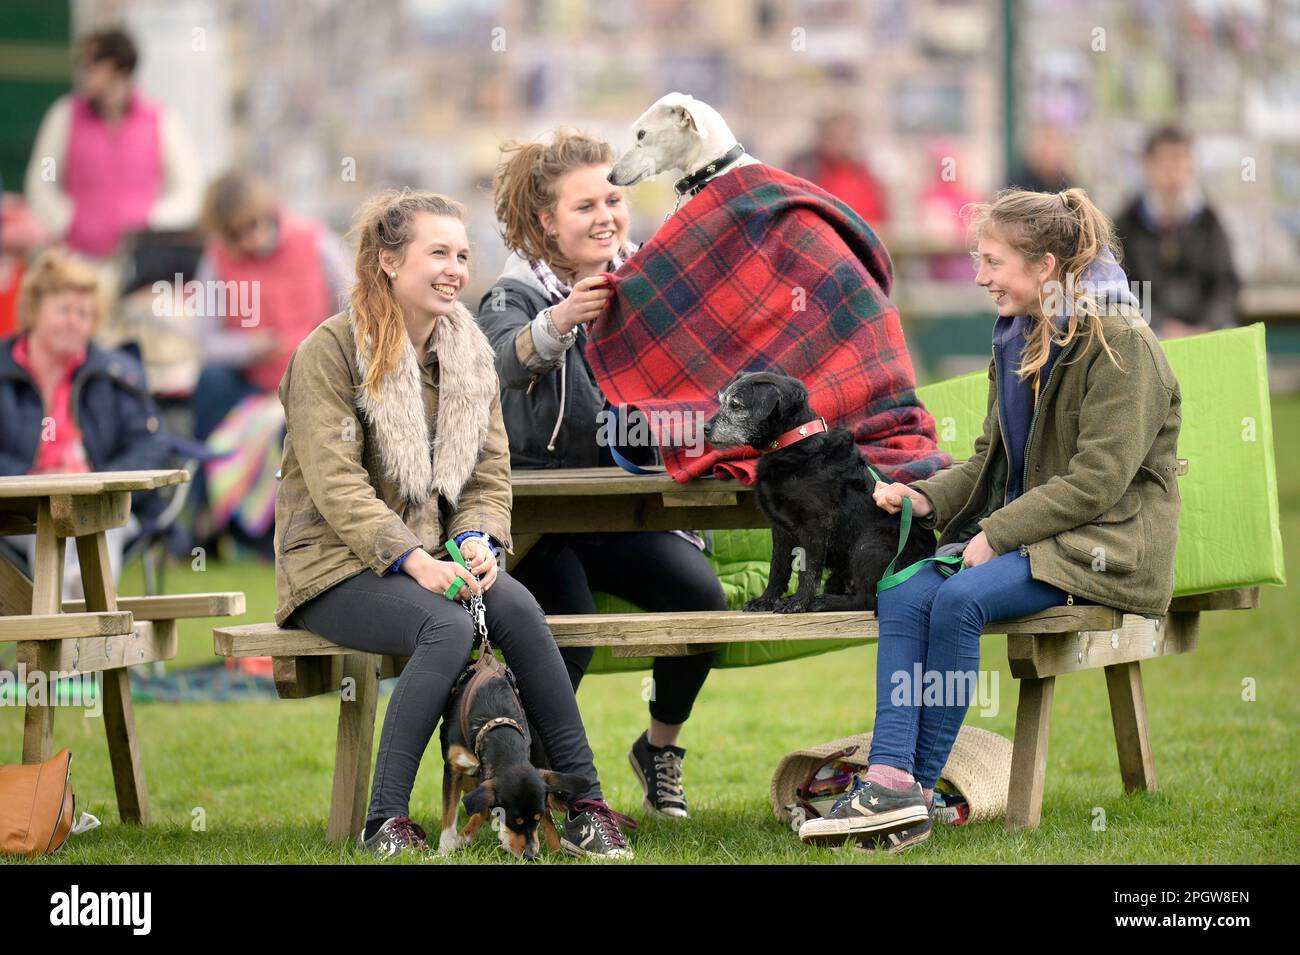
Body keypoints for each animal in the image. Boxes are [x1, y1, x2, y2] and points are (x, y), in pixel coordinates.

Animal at [439, 649, 587, 857]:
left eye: (535, 819)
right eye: (513, 821)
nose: (531, 855)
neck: (494, 721)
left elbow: (545, 816)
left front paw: (555, 850)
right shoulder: (453, 769)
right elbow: (450, 815)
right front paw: (445, 849)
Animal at [702, 371, 935, 613]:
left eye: (735, 405)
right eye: (723, 401)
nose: (704, 428)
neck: (792, 445)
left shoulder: (816, 524)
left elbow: (809, 570)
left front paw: (798, 603)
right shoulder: (780, 529)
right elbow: (778, 568)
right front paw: (766, 600)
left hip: (868, 545)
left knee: (868, 598)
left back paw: (823, 602)